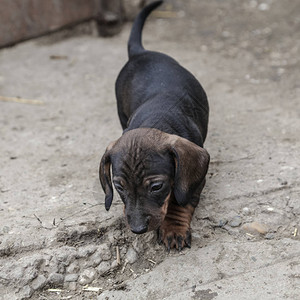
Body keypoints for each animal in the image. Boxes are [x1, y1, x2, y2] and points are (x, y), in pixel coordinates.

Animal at [99, 0, 210, 251]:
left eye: (157, 187)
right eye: (119, 187)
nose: (138, 229)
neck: (156, 119)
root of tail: (140, 52)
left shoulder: (194, 180)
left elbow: (180, 201)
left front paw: (174, 229)